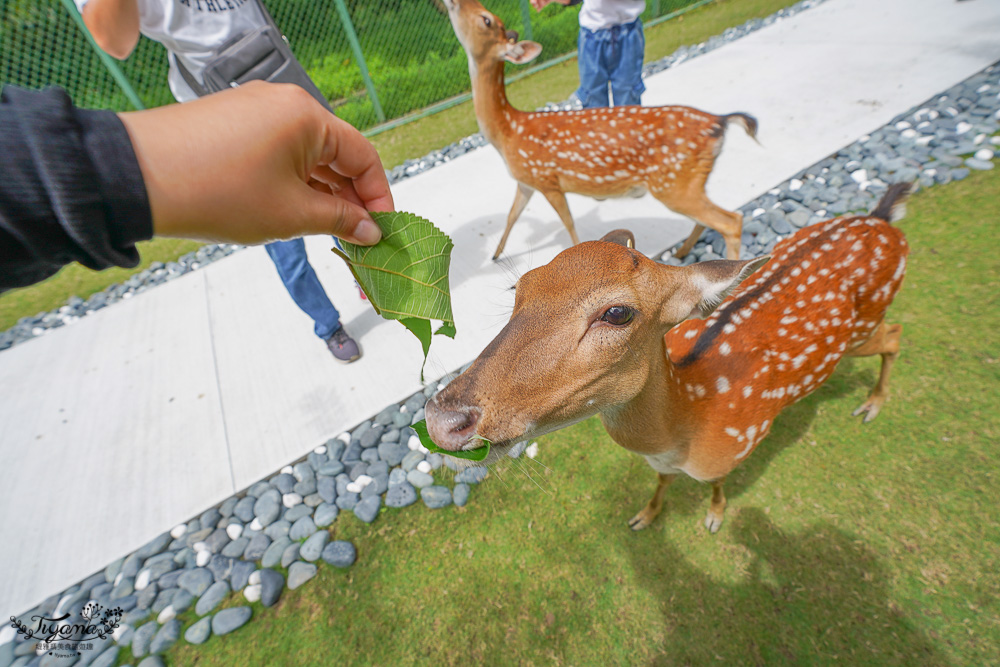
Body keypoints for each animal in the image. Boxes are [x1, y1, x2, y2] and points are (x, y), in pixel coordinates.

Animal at [426, 185, 912, 536]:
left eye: (617, 312)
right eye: (520, 287)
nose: (442, 418)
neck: (687, 425)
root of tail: (885, 221)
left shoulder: (731, 452)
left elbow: (716, 485)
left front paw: (714, 517)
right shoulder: (661, 465)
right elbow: (660, 484)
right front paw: (645, 515)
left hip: (864, 328)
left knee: (895, 335)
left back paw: (872, 405)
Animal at [446, 0, 756, 264]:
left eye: (486, 18)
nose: (454, 2)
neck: (508, 132)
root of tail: (720, 121)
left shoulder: (547, 179)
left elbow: (568, 222)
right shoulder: (526, 181)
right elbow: (511, 216)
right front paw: (495, 255)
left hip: (674, 182)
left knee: (731, 221)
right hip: (687, 182)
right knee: (710, 219)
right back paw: (681, 252)